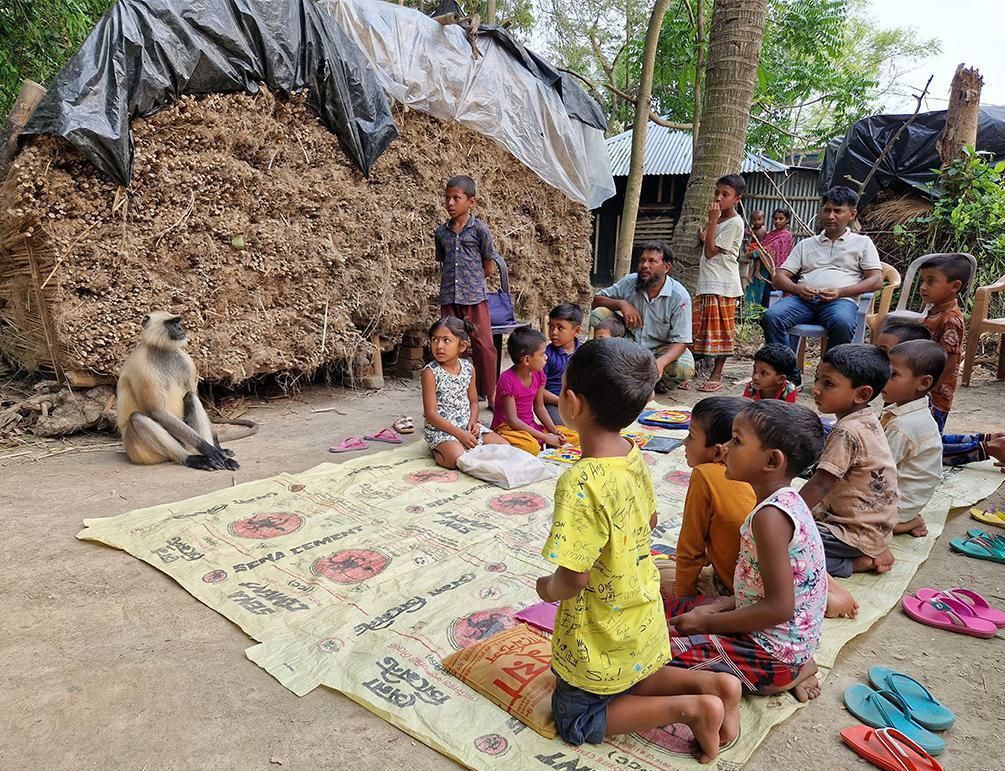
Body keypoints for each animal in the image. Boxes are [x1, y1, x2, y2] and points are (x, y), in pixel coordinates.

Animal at [115, 311, 257, 470]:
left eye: (178, 322)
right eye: (171, 323)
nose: (180, 328)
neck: (161, 350)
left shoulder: (186, 360)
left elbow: (193, 395)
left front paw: (217, 448)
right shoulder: (142, 367)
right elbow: (156, 411)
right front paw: (208, 449)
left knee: (190, 396)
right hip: (138, 451)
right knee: (137, 418)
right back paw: (192, 458)